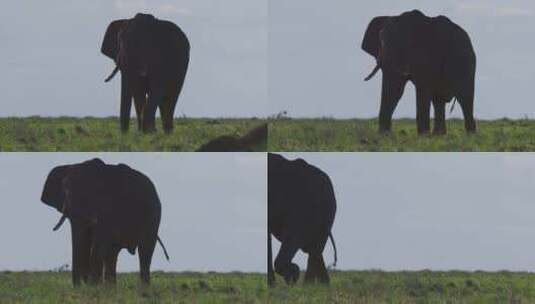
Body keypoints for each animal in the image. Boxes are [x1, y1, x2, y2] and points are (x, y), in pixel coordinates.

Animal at [40, 158, 169, 286]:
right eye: (65, 189)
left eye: (93, 192)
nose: (81, 284)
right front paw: (92, 286)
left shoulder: (108, 206)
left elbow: (99, 241)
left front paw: (92, 286)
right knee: (113, 252)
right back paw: (110, 287)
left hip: (153, 214)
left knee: (145, 250)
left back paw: (143, 288)